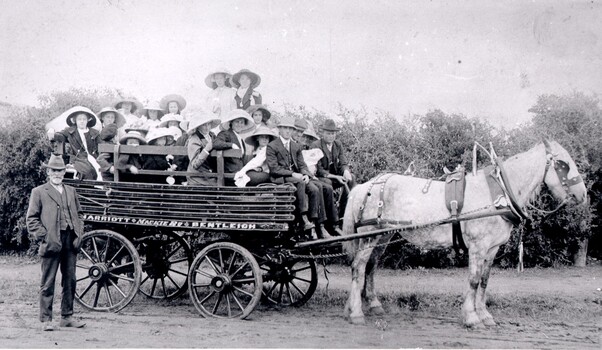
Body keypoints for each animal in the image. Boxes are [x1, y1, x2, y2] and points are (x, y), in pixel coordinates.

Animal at [342, 141, 584, 326]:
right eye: (564, 165)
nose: (583, 195)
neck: (498, 194)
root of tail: (364, 186)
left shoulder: (492, 248)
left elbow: (484, 281)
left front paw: (485, 315)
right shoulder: (478, 246)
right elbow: (474, 280)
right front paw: (471, 317)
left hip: (383, 235)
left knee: (371, 267)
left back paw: (370, 305)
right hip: (368, 235)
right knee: (358, 267)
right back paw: (356, 312)